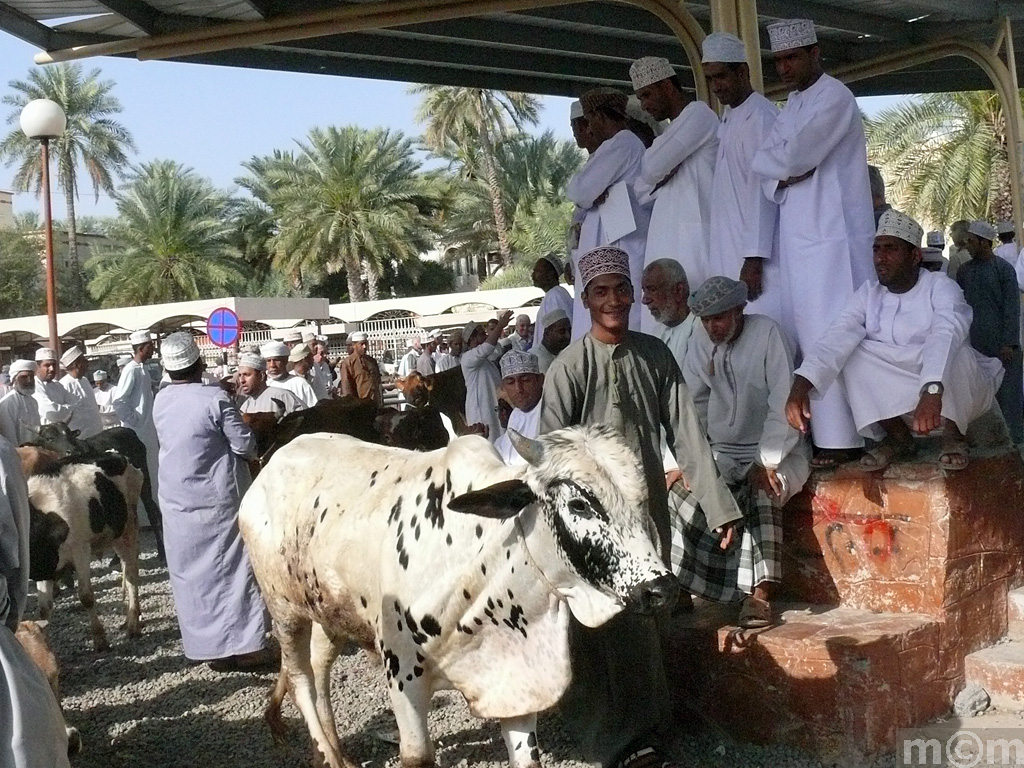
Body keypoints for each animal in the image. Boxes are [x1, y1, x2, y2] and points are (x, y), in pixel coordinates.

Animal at [28, 454, 144, 651]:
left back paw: (133, 625)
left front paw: (100, 640)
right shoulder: (46, 567)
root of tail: (116, 455)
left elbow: (86, 596)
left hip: (127, 527)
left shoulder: (80, 549)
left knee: (131, 574)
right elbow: (43, 609)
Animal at [235, 423, 675, 768]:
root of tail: (270, 466)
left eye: (642, 499)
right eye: (580, 503)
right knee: (301, 680)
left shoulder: (516, 688)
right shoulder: (403, 678)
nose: (659, 589)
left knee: (320, 667)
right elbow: (417, 756)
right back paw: (327, 754)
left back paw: (334, 753)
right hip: (285, 611)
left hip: (330, 614)